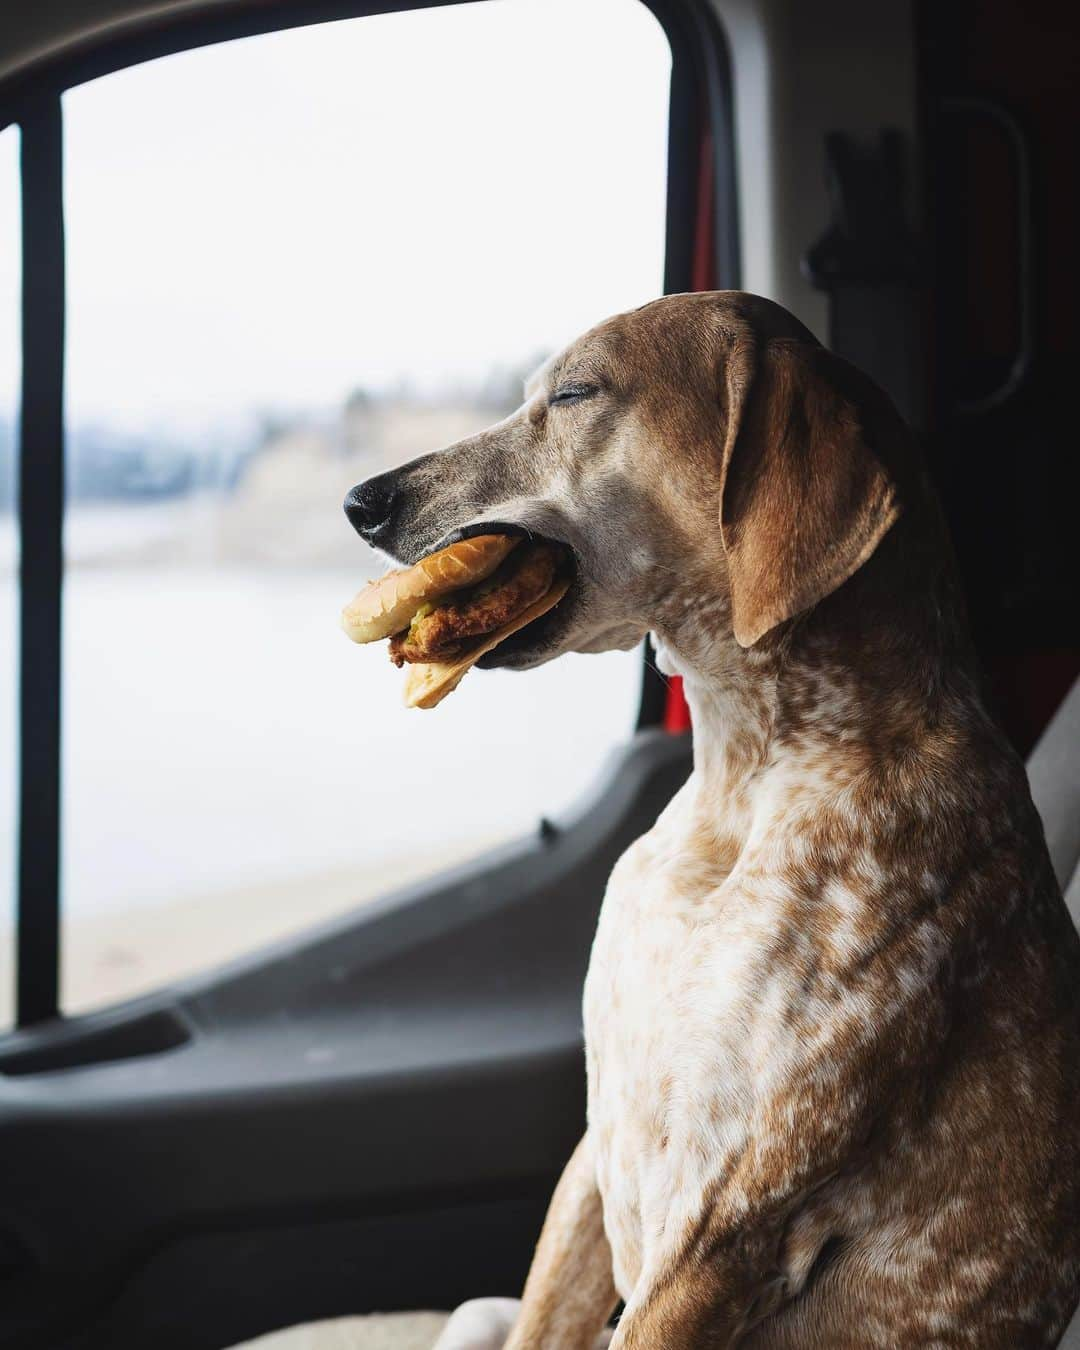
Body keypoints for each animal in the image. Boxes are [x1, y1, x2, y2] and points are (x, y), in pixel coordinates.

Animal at [345, 290, 1080, 1344]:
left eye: (575, 393)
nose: (361, 500)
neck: (745, 778)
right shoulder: (595, 1143)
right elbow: (550, 1307)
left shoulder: (717, 1225)